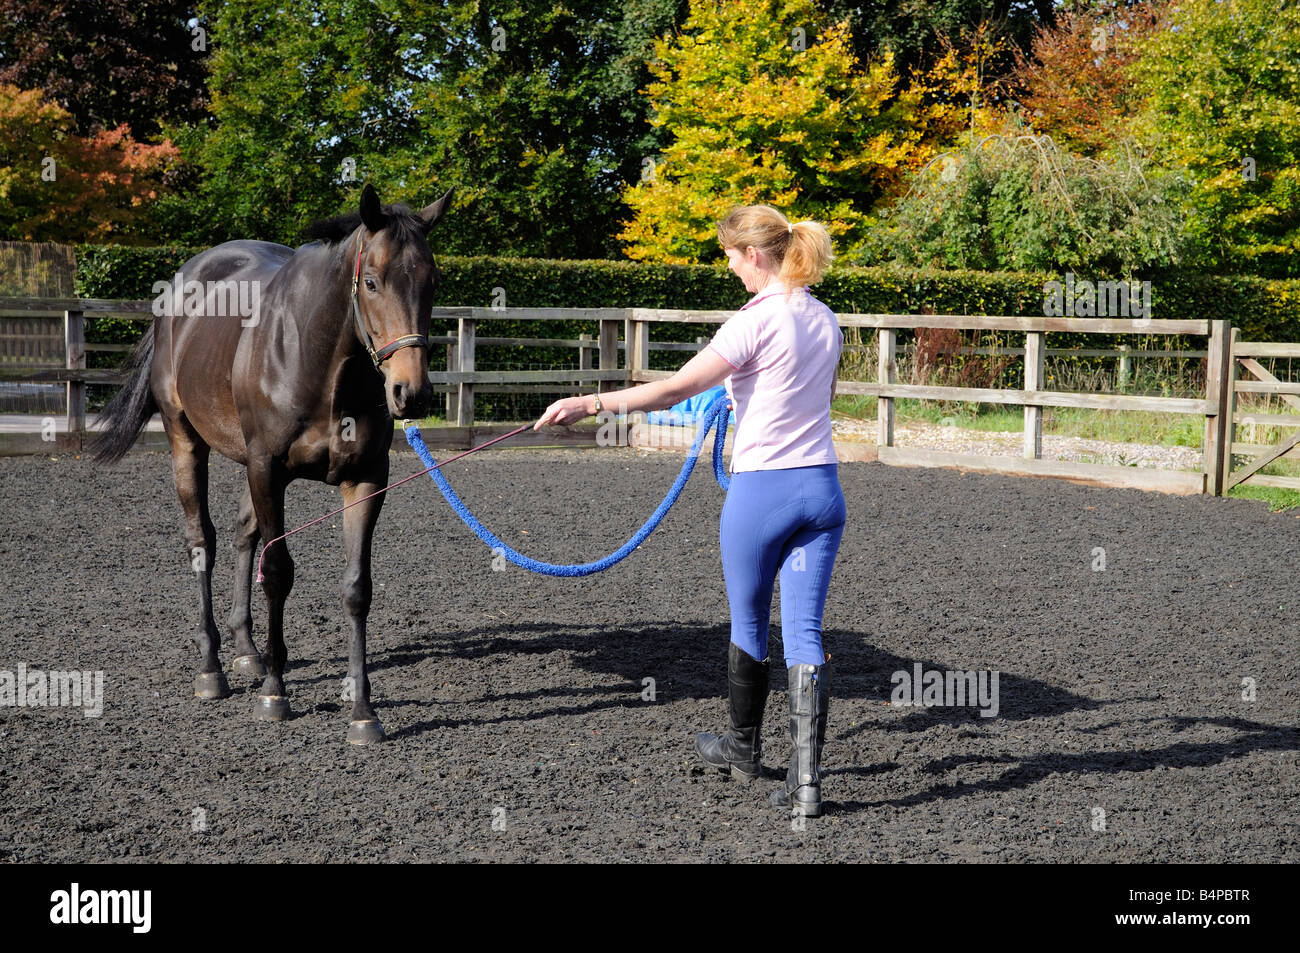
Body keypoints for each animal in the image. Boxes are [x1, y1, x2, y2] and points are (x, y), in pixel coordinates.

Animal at [92, 184, 453, 744]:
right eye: (372, 281)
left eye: (432, 282)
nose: (410, 393)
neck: (323, 363)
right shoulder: (267, 469)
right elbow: (279, 571)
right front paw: (275, 694)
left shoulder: (365, 479)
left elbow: (357, 587)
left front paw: (362, 710)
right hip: (186, 439)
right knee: (203, 540)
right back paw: (213, 668)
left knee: (244, 536)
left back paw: (247, 652)